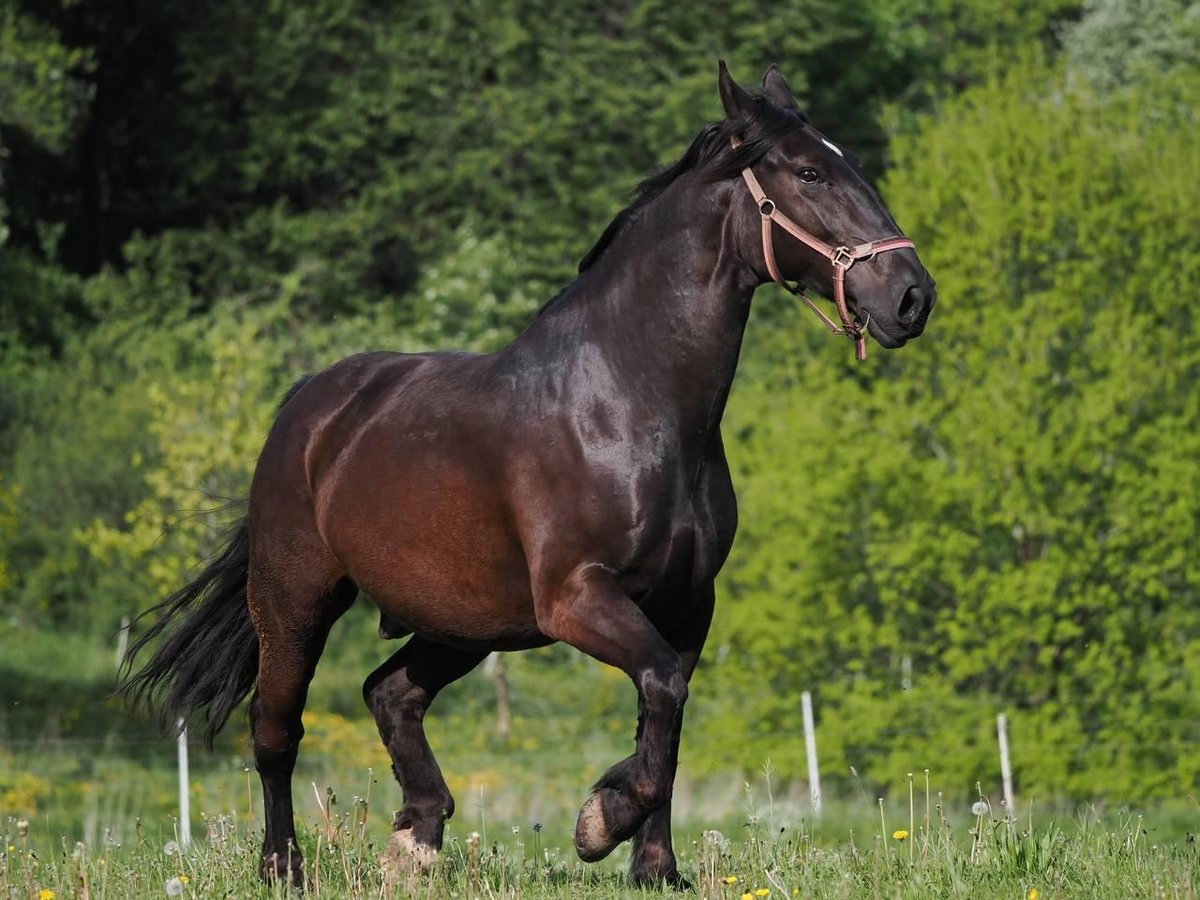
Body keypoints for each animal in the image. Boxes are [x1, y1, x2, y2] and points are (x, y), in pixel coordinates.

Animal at [119, 61, 936, 888]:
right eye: (809, 172)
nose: (912, 297)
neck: (630, 404)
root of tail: (308, 409)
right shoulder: (577, 599)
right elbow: (660, 695)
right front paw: (600, 820)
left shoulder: (687, 605)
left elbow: (667, 719)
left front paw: (656, 870)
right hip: (296, 601)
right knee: (277, 729)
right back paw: (285, 867)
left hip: (465, 621)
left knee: (390, 693)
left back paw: (415, 840)